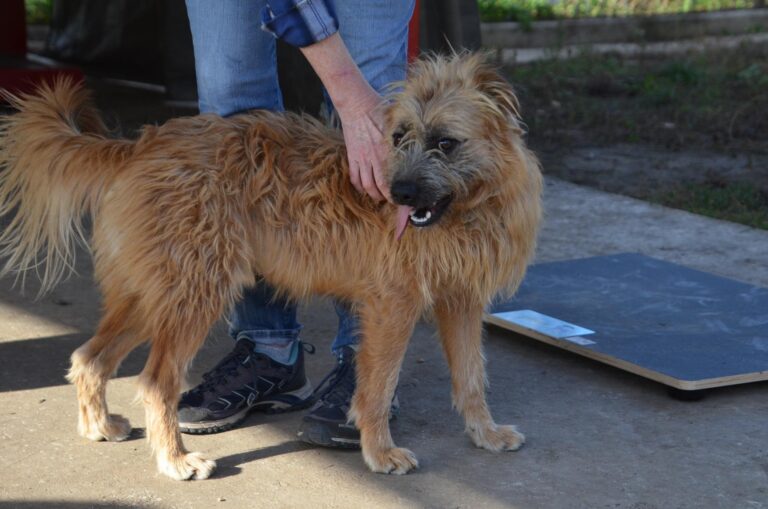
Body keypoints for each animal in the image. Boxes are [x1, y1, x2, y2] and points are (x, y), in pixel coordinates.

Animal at [0, 55, 540, 480]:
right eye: (399, 136)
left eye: (446, 142)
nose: (398, 193)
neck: (468, 209)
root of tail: (140, 145)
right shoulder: (392, 306)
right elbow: (379, 386)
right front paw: (380, 451)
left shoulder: (462, 302)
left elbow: (472, 376)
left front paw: (486, 433)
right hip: (195, 291)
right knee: (155, 382)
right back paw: (174, 459)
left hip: (152, 293)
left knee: (89, 357)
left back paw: (99, 426)